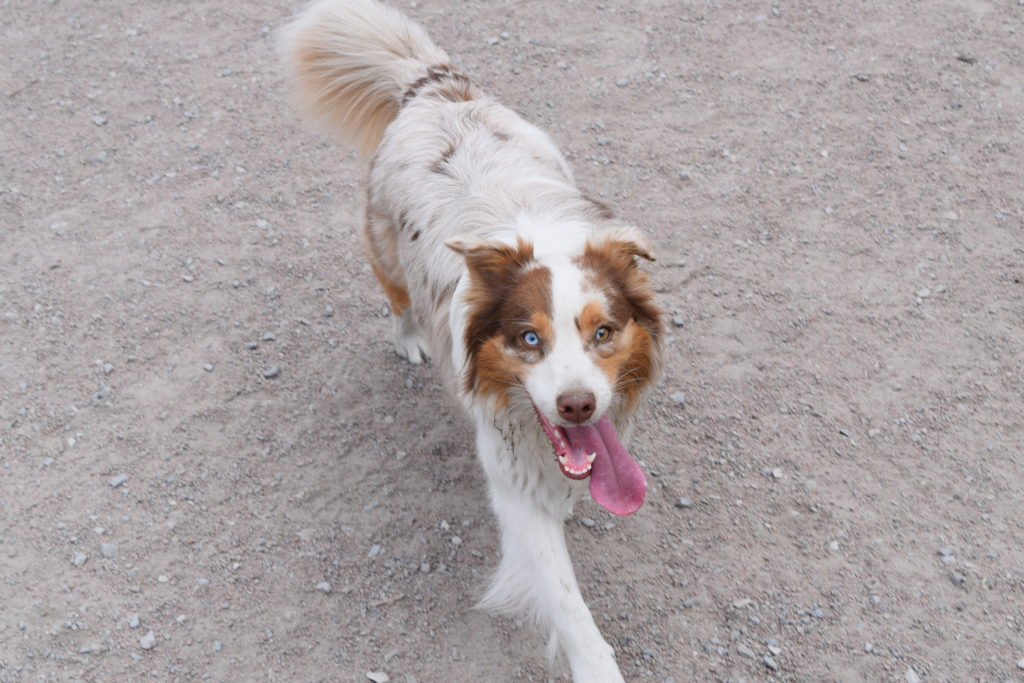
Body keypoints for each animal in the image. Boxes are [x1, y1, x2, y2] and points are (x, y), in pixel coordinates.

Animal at [280, 2, 663, 679]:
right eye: (529, 338)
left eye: (604, 332)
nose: (578, 407)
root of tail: (432, 86)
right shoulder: (510, 478)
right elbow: (564, 597)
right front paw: (595, 663)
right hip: (385, 250)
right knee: (396, 299)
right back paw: (409, 337)